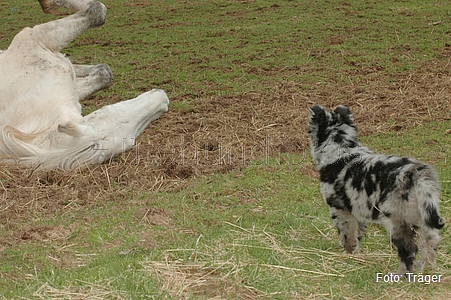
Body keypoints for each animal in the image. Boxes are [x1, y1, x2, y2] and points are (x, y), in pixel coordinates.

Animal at [0, 0, 169, 169]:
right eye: (106, 110)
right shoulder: (35, 37)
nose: (164, 99)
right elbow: (97, 11)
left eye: (131, 139)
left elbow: (103, 72)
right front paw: (48, 4)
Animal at [308, 105, 446, 274]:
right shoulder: (356, 209)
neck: (341, 149)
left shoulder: (339, 209)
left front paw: (348, 253)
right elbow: (357, 232)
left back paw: (400, 274)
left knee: (409, 248)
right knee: (430, 242)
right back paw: (427, 268)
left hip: (396, 218)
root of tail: (416, 173)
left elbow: (347, 234)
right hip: (424, 214)